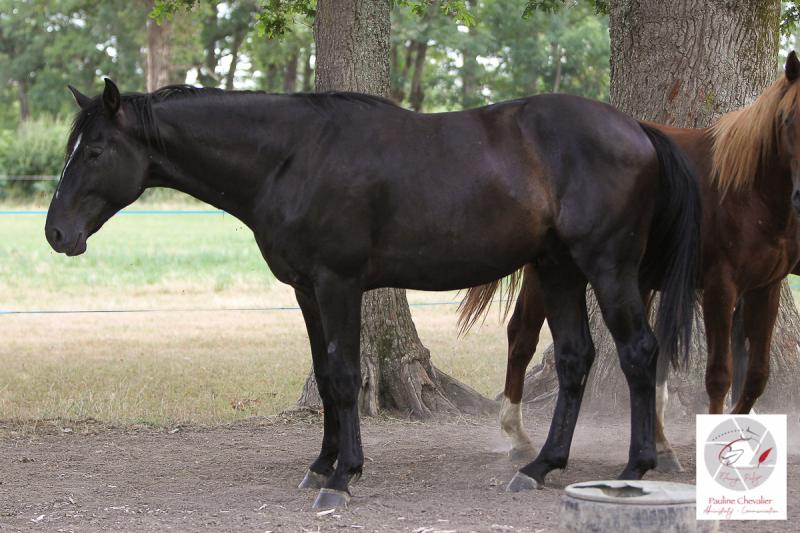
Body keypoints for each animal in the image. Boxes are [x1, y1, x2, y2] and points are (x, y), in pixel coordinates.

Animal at [45, 78, 700, 507]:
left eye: (95, 150)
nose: (56, 233)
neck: (292, 156)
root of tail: (638, 130)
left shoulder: (338, 284)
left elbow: (342, 374)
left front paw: (343, 478)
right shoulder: (307, 291)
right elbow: (324, 373)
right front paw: (321, 464)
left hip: (606, 266)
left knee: (638, 353)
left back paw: (637, 466)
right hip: (559, 269)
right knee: (574, 359)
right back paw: (540, 466)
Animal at [460, 51, 800, 473]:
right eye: (788, 119)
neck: (747, 189)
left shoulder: (765, 288)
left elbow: (754, 375)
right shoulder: (721, 289)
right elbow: (720, 374)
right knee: (522, 335)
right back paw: (519, 437)